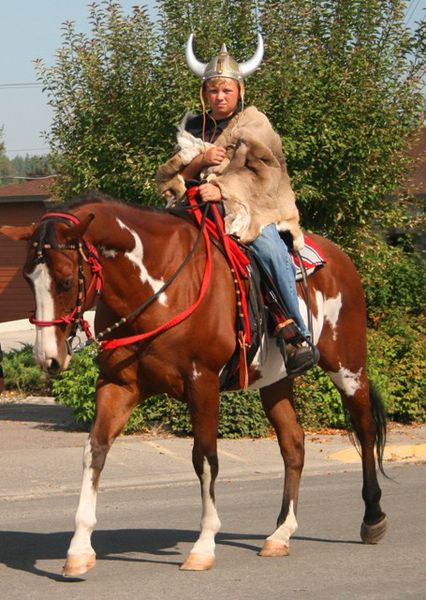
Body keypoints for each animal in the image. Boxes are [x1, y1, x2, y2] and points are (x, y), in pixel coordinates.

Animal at [0, 193, 388, 576]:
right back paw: (280, 534)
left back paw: (372, 519)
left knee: (365, 430)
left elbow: (205, 458)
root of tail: (339, 258)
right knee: (293, 444)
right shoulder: (117, 385)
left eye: (66, 281)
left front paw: (203, 547)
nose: (48, 359)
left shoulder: (203, 383)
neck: (159, 289)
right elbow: (94, 451)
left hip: (348, 367)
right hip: (275, 382)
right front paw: (79, 550)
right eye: (28, 279)